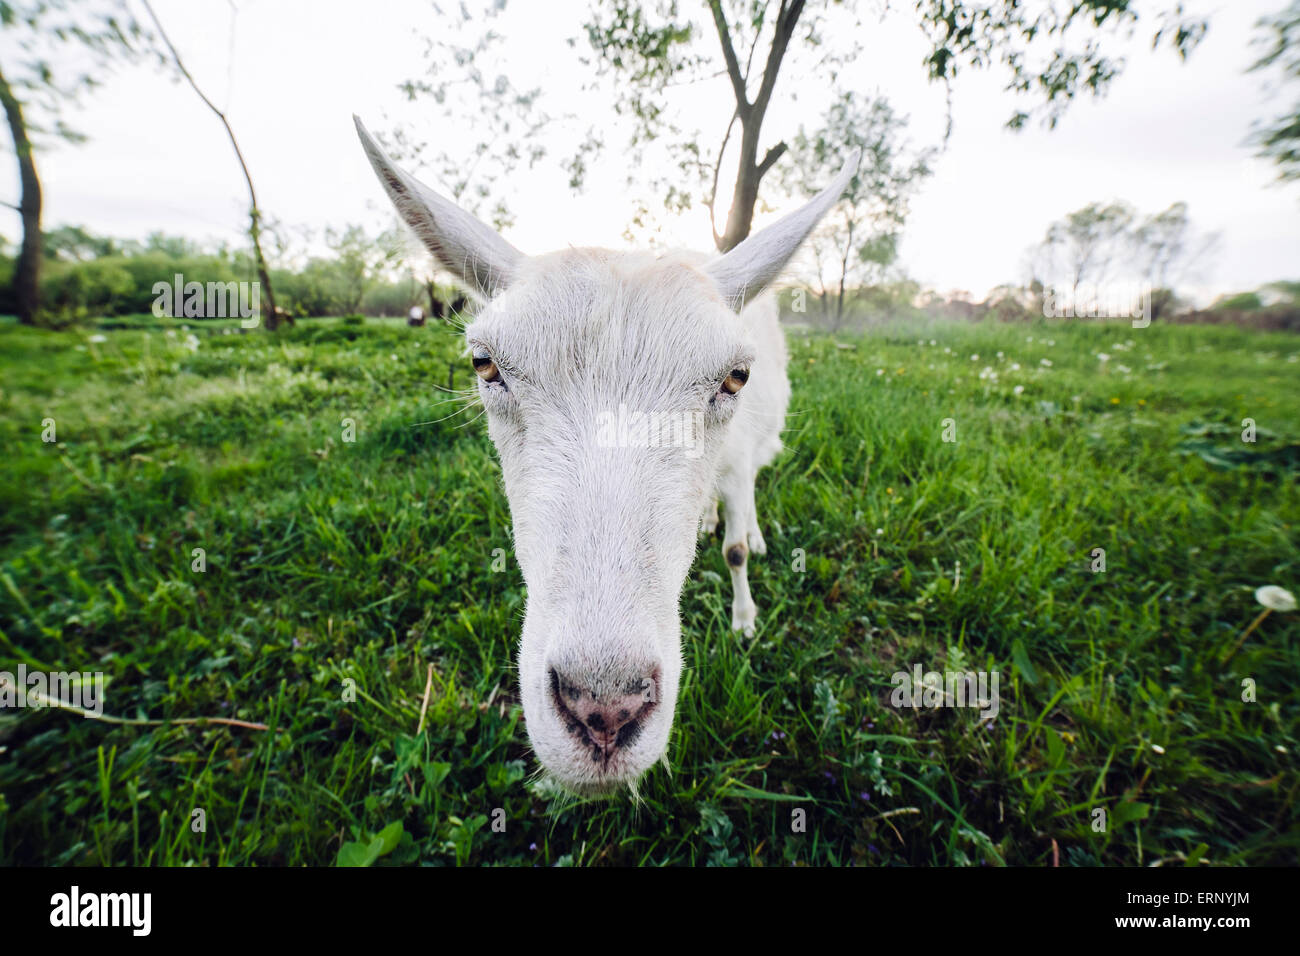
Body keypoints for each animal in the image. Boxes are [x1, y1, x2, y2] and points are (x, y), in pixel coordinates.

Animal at [355, 116, 857, 794]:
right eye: (484, 365)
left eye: (736, 377)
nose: (605, 709)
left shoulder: (738, 455)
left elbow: (735, 550)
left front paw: (745, 619)